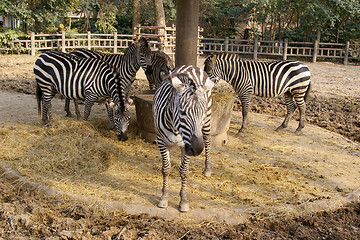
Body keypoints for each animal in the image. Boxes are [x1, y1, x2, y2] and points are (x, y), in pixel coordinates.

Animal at [153, 65, 215, 212]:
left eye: (202, 113)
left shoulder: (185, 146)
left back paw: (207, 169)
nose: (197, 149)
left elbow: (184, 171)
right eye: (183, 112)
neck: (175, 127)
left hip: (207, 122)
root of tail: (192, 66)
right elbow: (166, 169)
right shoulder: (161, 141)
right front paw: (164, 197)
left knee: (208, 141)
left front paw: (184, 200)